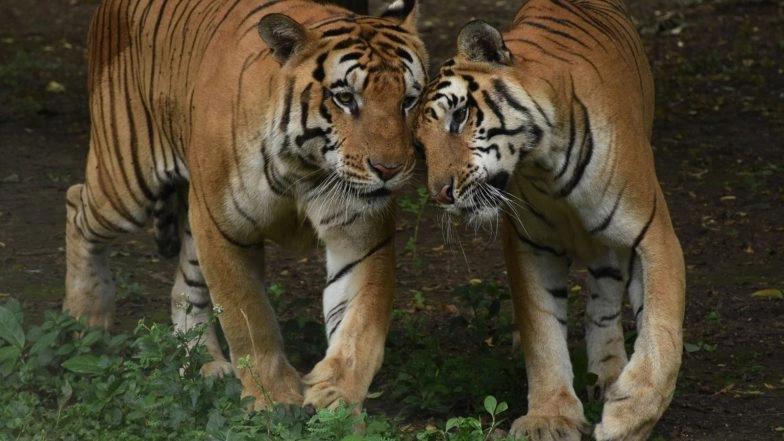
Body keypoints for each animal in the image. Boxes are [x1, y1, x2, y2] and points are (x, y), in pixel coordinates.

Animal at [63, 0, 427, 410]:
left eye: (408, 100)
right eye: (345, 98)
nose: (388, 169)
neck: (306, 167)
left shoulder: (361, 238)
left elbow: (360, 323)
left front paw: (336, 397)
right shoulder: (222, 228)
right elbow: (248, 316)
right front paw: (274, 398)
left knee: (185, 289)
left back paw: (204, 367)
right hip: (127, 178)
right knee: (76, 204)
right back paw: (85, 323)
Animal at [413, 1, 685, 440]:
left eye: (459, 116)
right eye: (420, 148)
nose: (440, 194)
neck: (543, 165)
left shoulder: (651, 233)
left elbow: (661, 331)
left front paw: (627, 418)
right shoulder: (530, 245)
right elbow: (543, 332)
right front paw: (550, 417)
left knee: (605, 300)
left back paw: (608, 375)